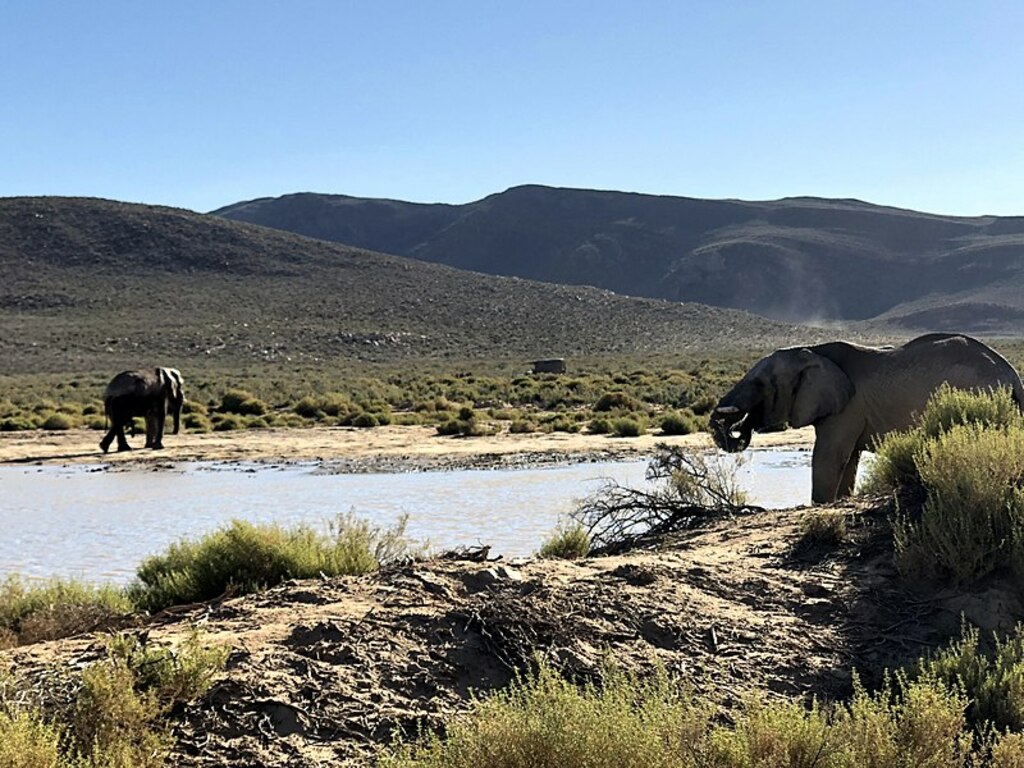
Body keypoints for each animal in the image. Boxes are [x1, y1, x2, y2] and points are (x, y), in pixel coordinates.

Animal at [709, 333, 1024, 504]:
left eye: (760, 384)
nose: (738, 425)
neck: (812, 350)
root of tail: (1012, 375)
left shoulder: (846, 409)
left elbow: (828, 457)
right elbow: (848, 461)